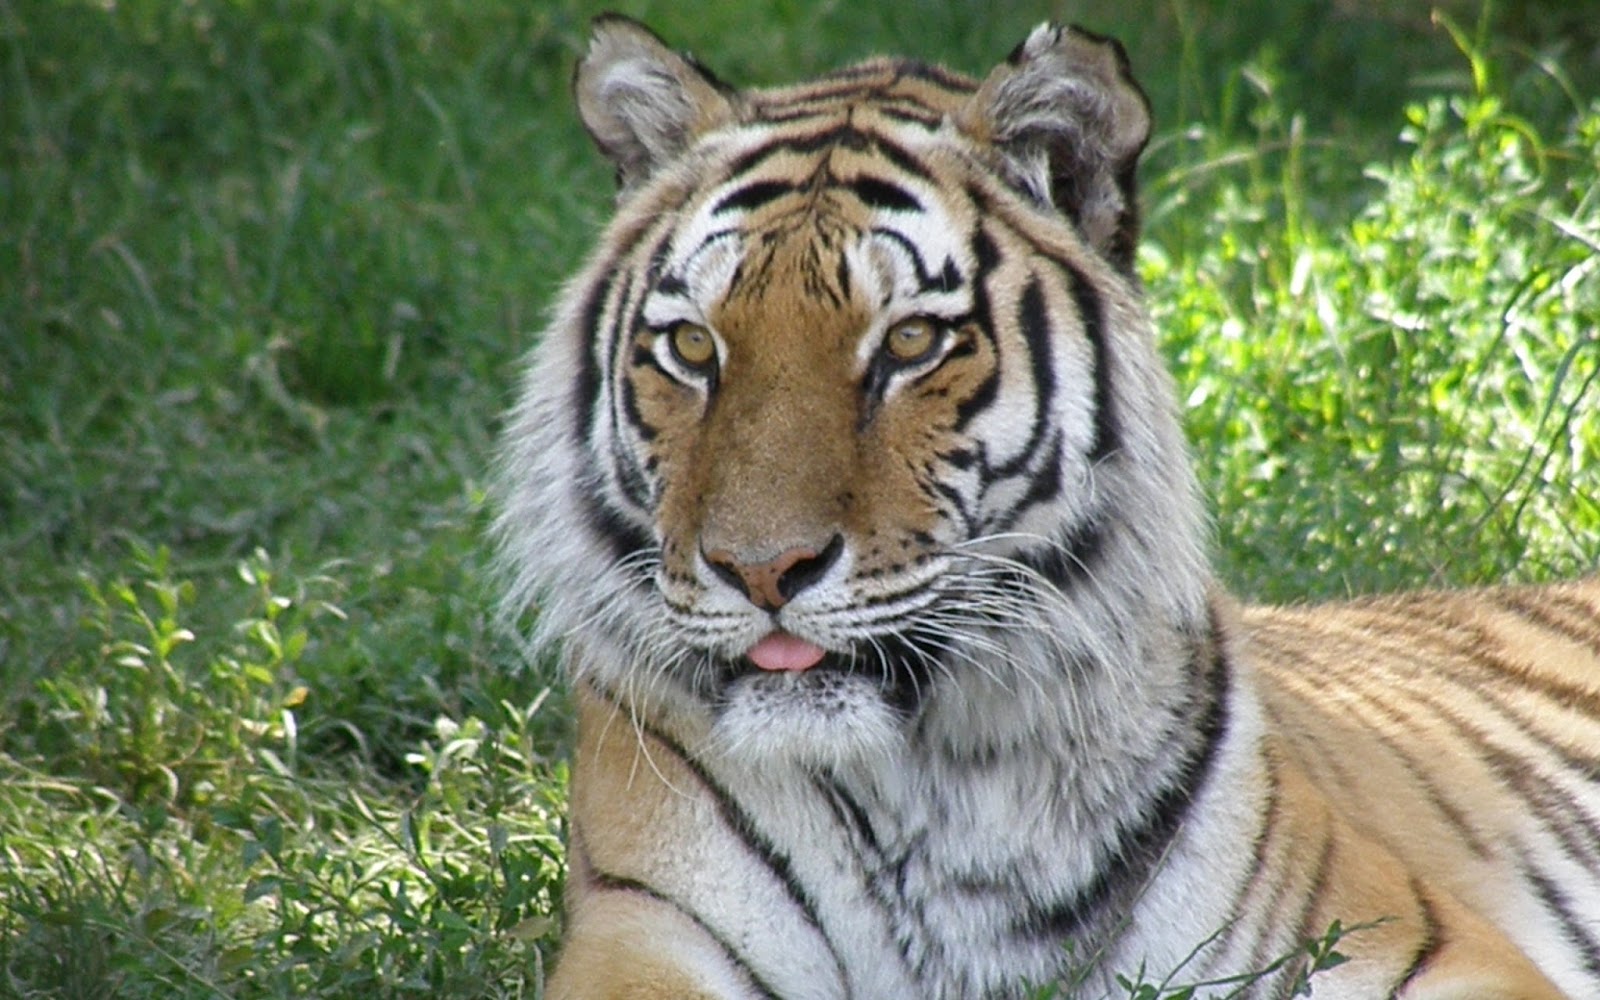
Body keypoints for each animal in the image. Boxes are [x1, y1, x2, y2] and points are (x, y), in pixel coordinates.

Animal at [492, 15, 1600, 1000]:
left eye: (909, 343)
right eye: (692, 347)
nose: (762, 570)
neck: (928, 785)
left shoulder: (1400, 941)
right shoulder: (644, 935)